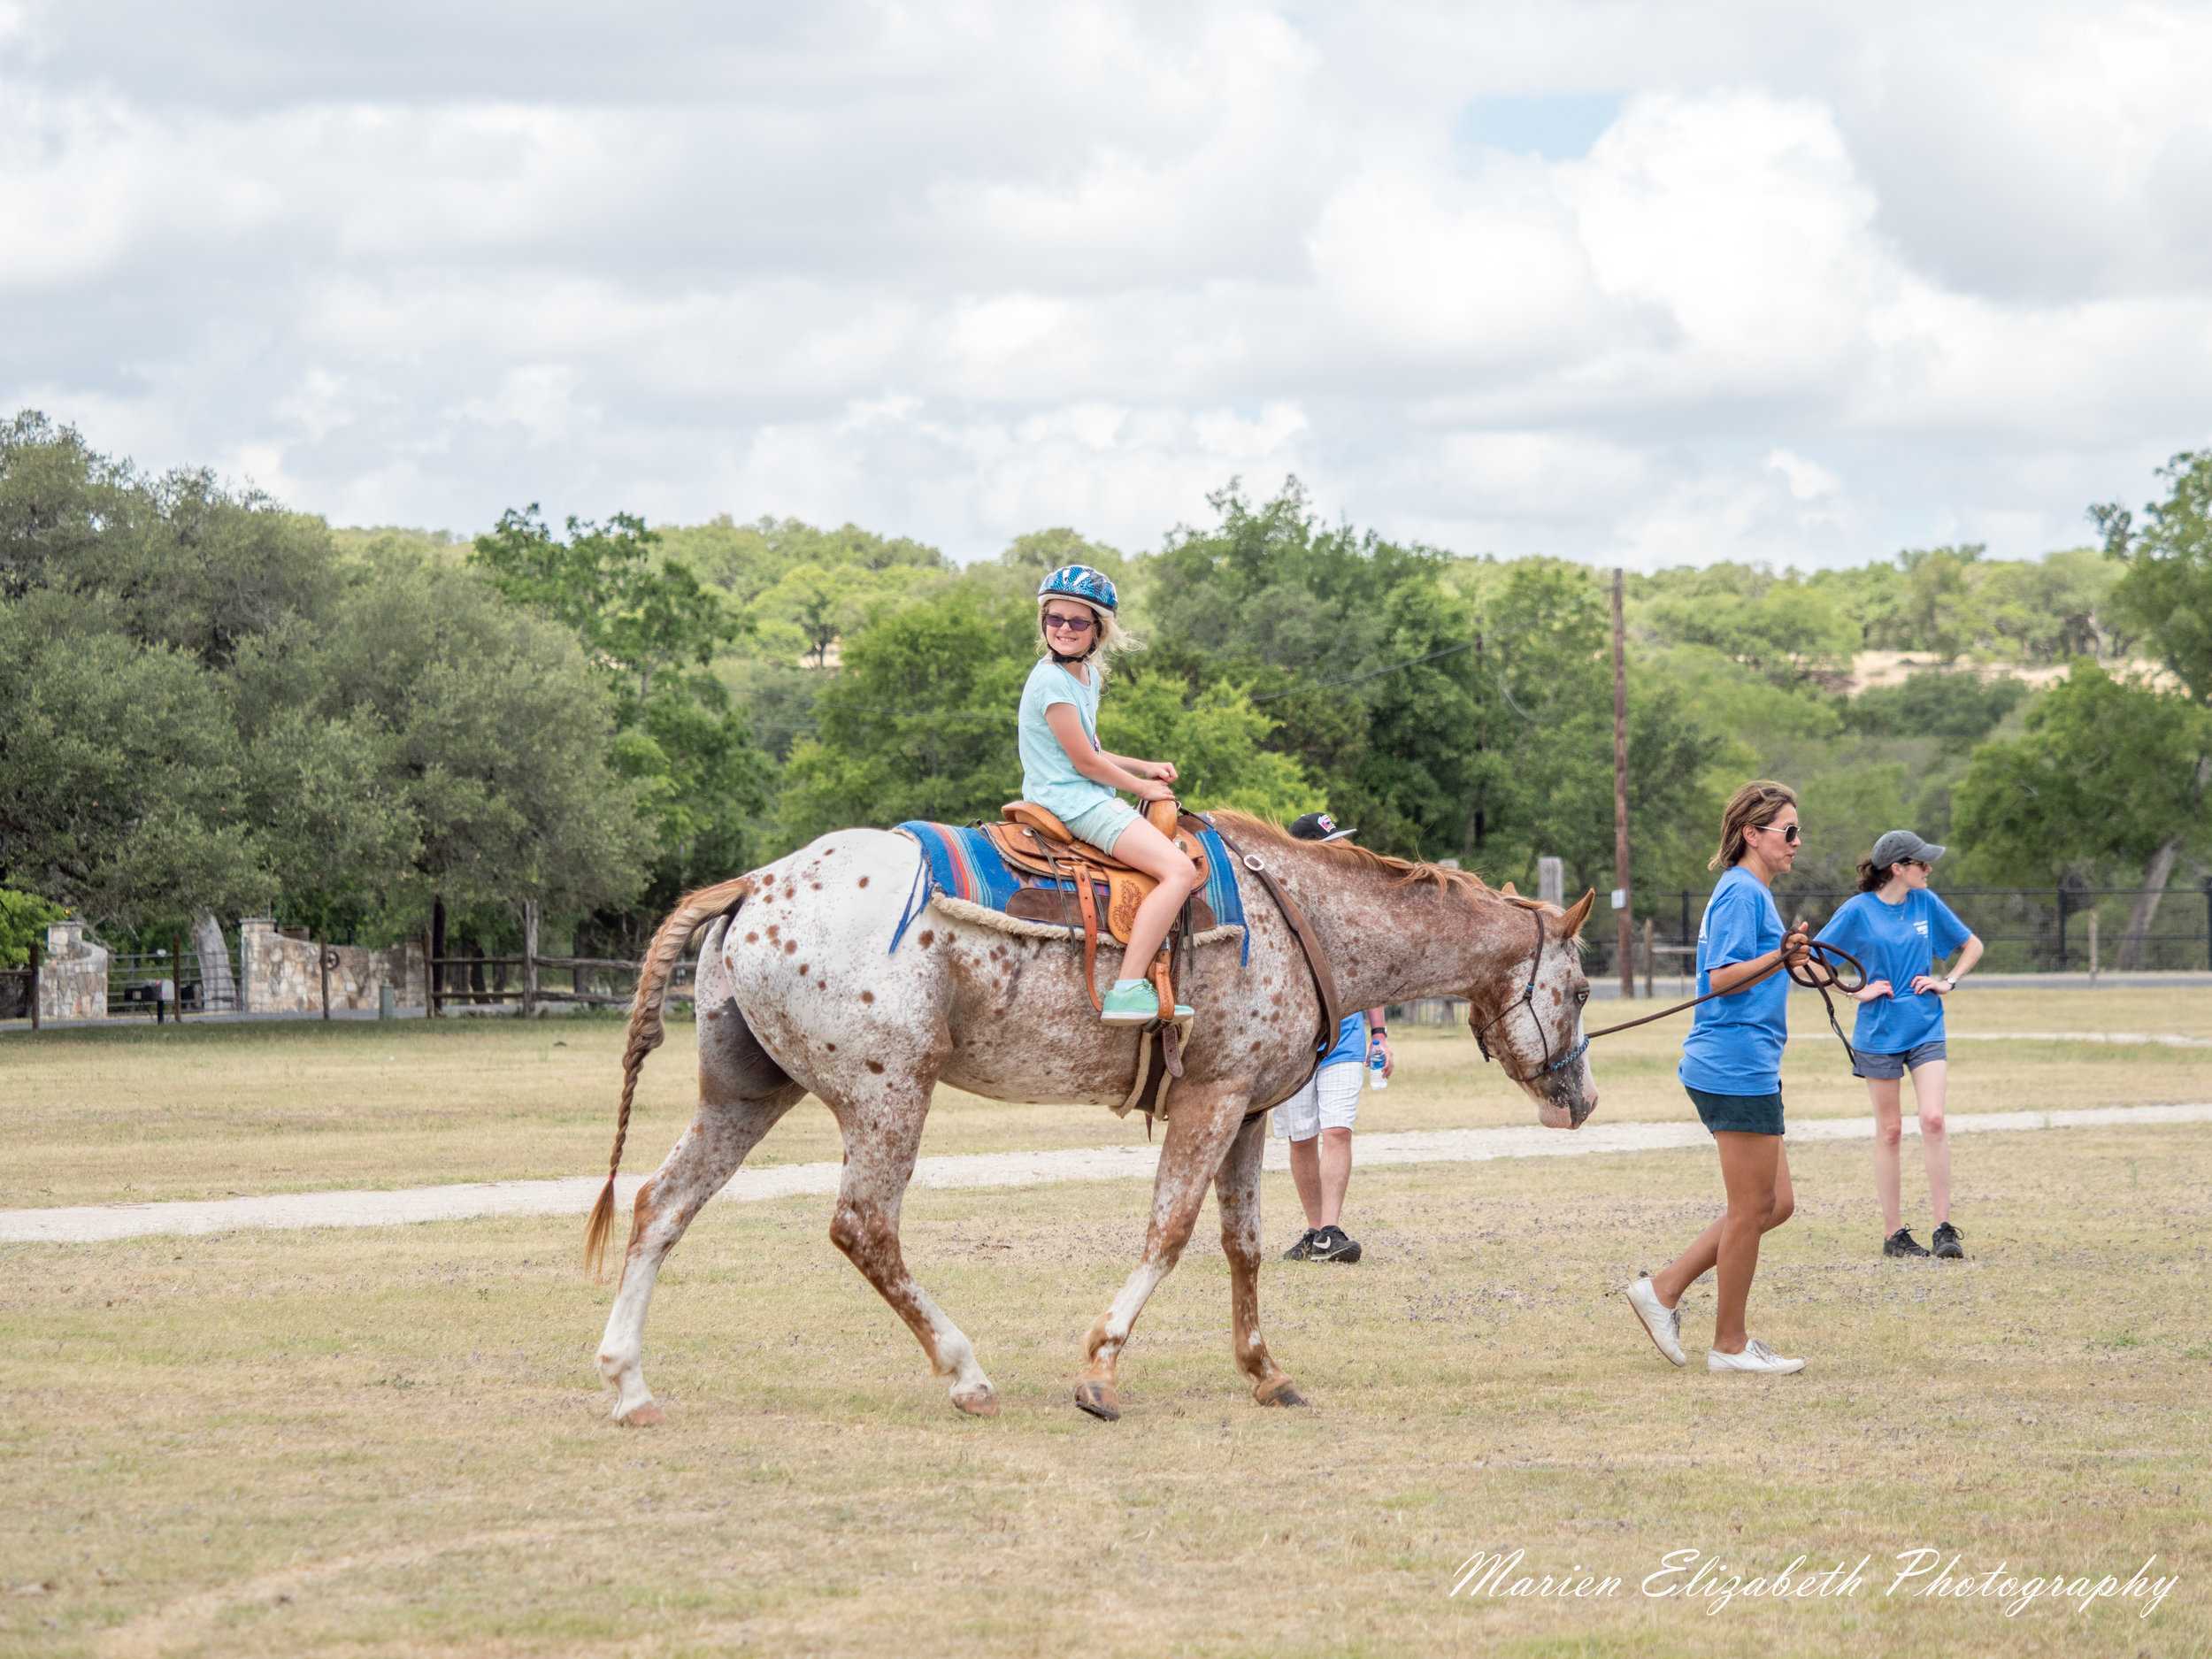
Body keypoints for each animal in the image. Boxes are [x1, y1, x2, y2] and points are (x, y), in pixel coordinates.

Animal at [588, 814, 1593, 1425]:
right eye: (1581, 988)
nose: (1581, 1100)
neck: (1299, 916)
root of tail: (754, 885)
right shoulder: (1209, 1100)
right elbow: (1169, 1232)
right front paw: (1101, 1371)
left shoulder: (1248, 1110)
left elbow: (1242, 1244)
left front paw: (1264, 1370)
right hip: (888, 1094)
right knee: (863, 1226)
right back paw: (966, 1374)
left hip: (746, 1093)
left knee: (659, 1205)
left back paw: (629, 1385)